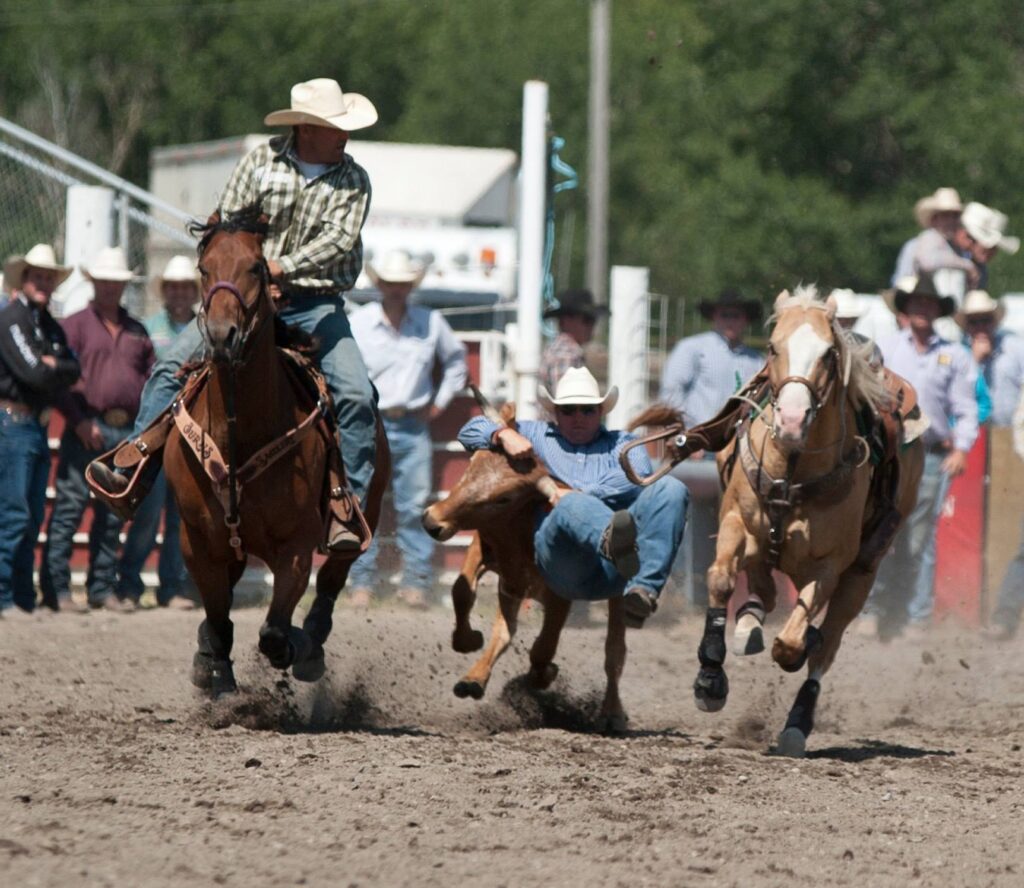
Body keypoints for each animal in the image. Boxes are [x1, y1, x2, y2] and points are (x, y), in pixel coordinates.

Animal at [165, 207, 389, 696]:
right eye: (203, 268)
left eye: (256, 267)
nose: (222, 336)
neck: (239, 433)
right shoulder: (199, 543)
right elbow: (217, 614)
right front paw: (213, 667)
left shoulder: (297, 546)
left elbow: (273, 630)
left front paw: (293, 647)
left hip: (363, 517)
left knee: (331, 581)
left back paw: (311, 647)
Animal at [417, 403, 630, 737]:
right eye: (471, 464)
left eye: (503, 497)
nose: (432, 521)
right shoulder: (485, 549)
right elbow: (462, 592)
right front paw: (468, 640)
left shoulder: (559, 595)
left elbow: (544, 647)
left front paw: (544, 674)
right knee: (505, 632)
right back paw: (474, 679)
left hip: (618, 593)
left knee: (614, 654)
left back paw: (612, 713)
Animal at [692, 286, 925, 757]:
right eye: (771, 347)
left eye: (829, 354)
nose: (792, 420)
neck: (793, 467)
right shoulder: (736, 525)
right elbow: (721, 579)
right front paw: (710, 677)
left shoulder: (830, 567)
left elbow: (793, 644)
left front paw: (796, 649)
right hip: (764, 549)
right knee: (761, 589)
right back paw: (748, 626)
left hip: (861, 576)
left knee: (825, 646)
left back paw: (797, 722)